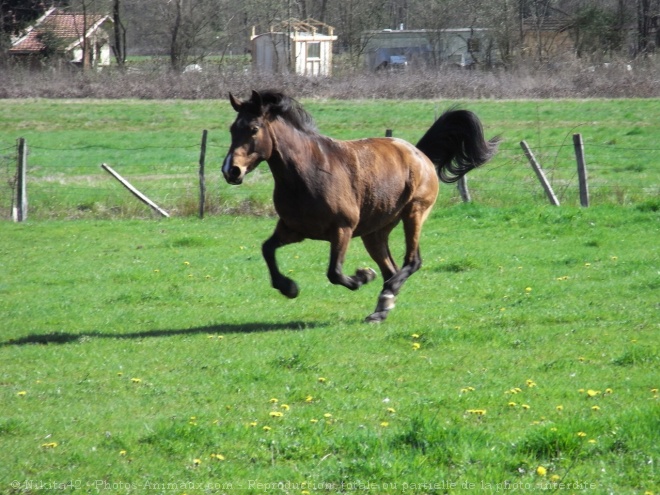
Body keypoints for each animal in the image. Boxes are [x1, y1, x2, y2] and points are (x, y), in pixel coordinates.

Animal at [224, 91, 498, 324]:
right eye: (232, 129)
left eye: (253, 129)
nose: (231, 170)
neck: (307, 172)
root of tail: (419, 154)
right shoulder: (292, 230)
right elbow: (267, 249)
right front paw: (288, 287)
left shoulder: (341, 230)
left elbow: (334, 272)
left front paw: (363, 277)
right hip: (374, 233)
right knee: (391, 269)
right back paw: (381, 309)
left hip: (414, 213)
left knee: (412, 261)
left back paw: (386, 296)